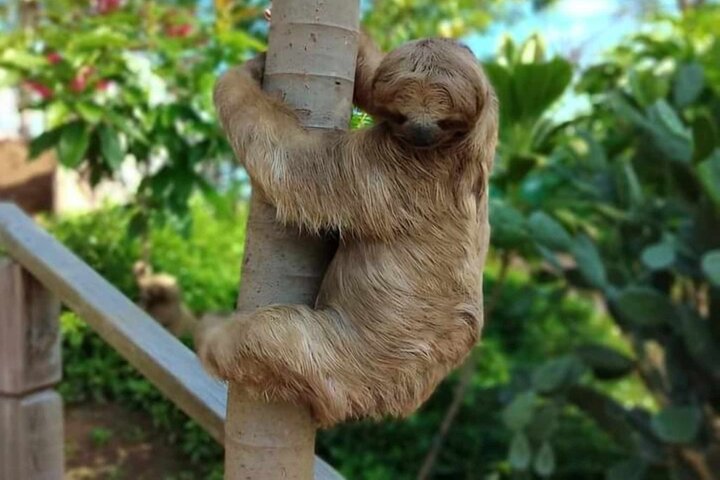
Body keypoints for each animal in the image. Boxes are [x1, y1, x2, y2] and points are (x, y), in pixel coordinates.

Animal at [197, 31, 498, 427]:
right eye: (401, 115)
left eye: (446, 121)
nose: (421, 131)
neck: (453, 151)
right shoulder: (489, 120)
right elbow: (370, 84)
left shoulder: (385, 169)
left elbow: (296, 168)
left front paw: (238, 76)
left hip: (352, 363)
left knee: (276, 337)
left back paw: (213, 334)